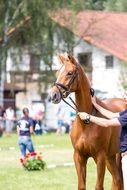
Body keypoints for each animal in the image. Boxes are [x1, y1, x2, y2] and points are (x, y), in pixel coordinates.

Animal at [50, 53, 126, 190]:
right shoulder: (79, 157)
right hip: (111, 156)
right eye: (57, 72)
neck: (86, 123)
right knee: (117, 180)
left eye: (69, 73)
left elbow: (98, 186)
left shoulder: (100, 157)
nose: (53, 95)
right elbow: (81, 186)